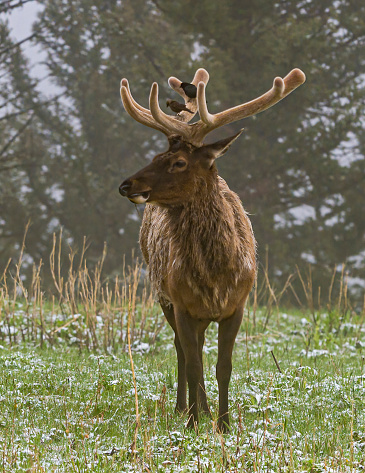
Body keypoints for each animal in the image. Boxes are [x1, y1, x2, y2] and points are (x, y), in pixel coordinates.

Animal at [117, 66, 304, 432]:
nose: (126, 185)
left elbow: (223, 367)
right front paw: (191, 423)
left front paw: (224, 425)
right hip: (162, 296)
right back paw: (185, 408)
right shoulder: (181, 303)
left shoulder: (237, 306)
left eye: (178, 162)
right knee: (183, 350)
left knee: (198, 350)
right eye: (155, 156)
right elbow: (193, 363)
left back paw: (203, 409)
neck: (215, 276)